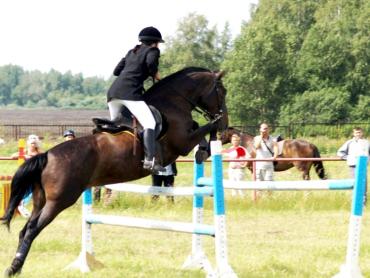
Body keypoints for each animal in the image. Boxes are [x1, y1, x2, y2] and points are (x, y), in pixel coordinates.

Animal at [0, 67, 228, 276]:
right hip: (59, 201)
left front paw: (205, 149)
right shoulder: (181, 143)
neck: (173, 102)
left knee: (25, 229)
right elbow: (205, 127)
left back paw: (17, 267)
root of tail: (48, 155)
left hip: (41, 200)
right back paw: (14, 267)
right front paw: (208, 143)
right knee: (32, 229)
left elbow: (200, 127)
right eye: (222, 91)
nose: (226, 123)